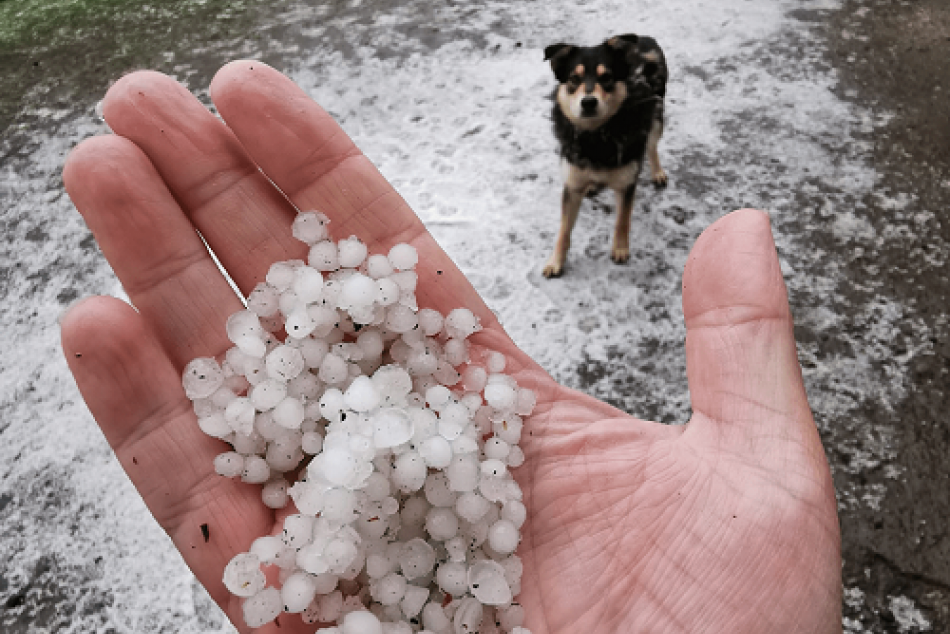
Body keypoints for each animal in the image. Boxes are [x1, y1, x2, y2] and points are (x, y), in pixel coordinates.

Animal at [544, 34, 668, 276]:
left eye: (607, 77)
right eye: (574, 78)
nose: (588, 102)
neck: (596, 137)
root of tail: (644, 38)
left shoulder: (626, 182)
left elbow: (622, 219)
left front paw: (620, 249)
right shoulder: (572, 183)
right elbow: (564, 230)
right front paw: (556, 262)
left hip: (656, 113)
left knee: (651, 145)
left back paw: (657, 171)